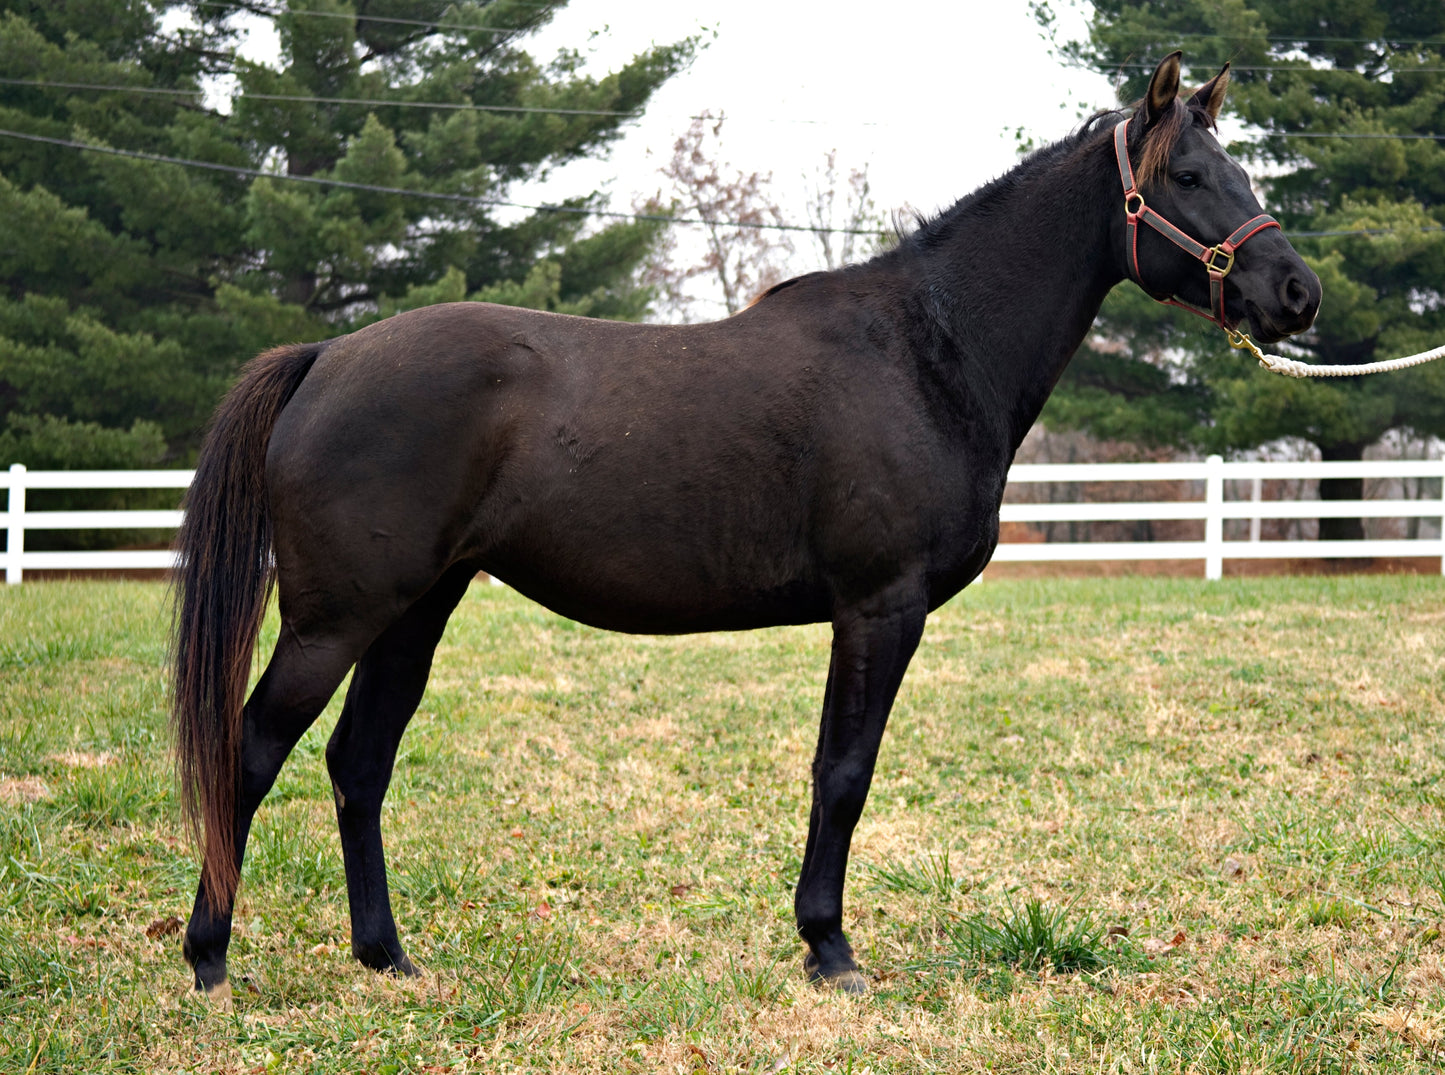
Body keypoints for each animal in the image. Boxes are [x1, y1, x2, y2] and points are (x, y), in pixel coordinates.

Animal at [172, 53, 1321, 1000]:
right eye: (1187, 178)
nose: (1296, 293)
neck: (925, 350)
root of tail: (326, 355)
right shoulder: (878, 607)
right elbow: (842, 774)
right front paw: (829, 949)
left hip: (415, 609)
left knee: (358, 763)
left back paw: (387, 956)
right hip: (335, 620)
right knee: (252, 750)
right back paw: (211, 959)